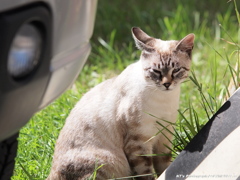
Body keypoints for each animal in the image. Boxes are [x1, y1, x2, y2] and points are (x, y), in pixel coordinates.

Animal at [47, 27, 195, 180]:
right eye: (156, 71)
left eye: (176, 70)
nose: (167, 84)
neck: (164, 99)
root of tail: (52, 172)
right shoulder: (139, 143)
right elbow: (146, 173)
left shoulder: (164, 136)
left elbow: (165, 167)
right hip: (109, 161)